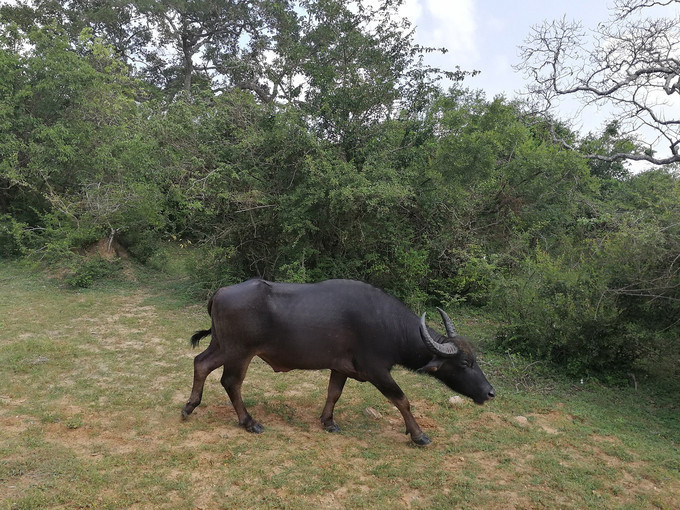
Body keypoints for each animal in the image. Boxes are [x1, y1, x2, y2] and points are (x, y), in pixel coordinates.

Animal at [183, 278, 496, 442]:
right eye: (465, 363)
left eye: (475, 358)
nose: (490, 392)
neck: (387, 326)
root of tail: (220, 292)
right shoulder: (377, 370)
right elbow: (402, 399)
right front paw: (418, 434)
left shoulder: (339, 367)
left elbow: (333, 393)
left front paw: (328, 421)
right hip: (240, 352)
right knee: (230, 382)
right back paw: (249, 421)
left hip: (222, 345)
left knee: (201, 363)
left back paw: (190, 406)